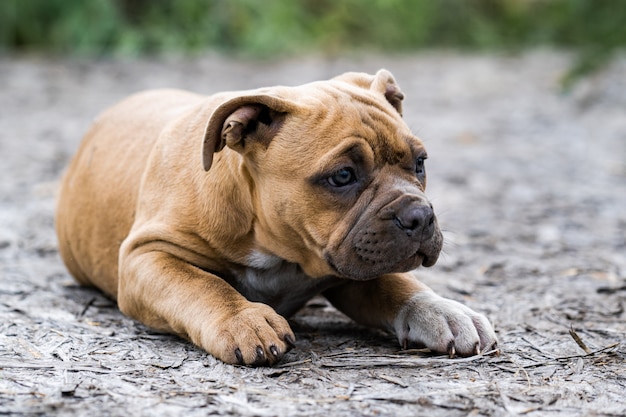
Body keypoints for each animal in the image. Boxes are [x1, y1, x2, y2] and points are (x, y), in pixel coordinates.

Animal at [57, 70, 498, 362]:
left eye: (420, 163)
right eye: (342, 176)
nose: (419, 215)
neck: (278, 250)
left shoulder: (353, 267)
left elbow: (397, 284)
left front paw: (442, 310)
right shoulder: (146, 256)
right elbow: (201, 284)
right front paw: (244, 317)